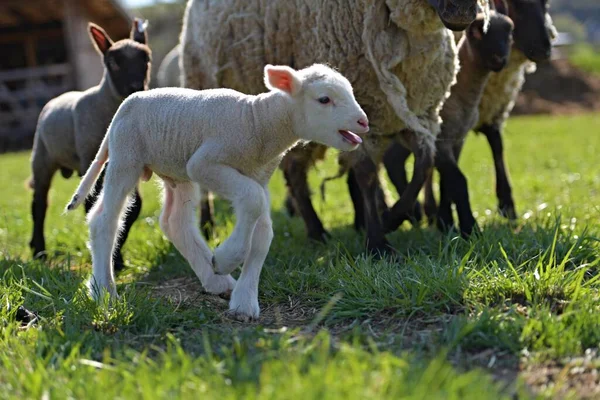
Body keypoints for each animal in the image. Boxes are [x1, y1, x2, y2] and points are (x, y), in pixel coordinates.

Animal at [64, 63, 366, 318]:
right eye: (324, 99)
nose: (363, 122)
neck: (257, 122)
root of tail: (124, 107)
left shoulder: (258, 177)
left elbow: (262, 233)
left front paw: (244, 301)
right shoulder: (205, 163)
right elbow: (252, 202)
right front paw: (225, 258)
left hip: (176, 171)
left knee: (175, 222)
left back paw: (217, 281)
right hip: (127, 156)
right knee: (104, 220)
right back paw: (105, 293)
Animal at [180, 0, 486, 253]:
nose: (462, 13)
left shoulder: (419, 117)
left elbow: (423, 165)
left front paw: (391, 218)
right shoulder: (366, 116)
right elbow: (367, 175)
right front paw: (379, 244)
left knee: (294, 173)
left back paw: (317, 231)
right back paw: (210, 225)